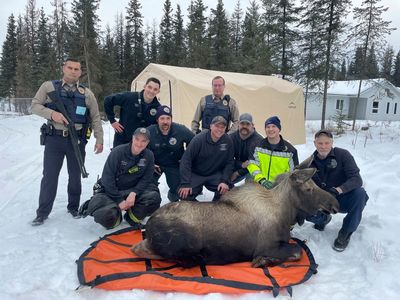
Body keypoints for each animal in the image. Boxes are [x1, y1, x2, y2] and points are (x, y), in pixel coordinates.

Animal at [133, 168, 340, 268]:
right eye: (308, 188)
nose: (335, 204)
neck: (286, 214)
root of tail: (149, 227)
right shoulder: (267, 246)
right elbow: (298, 251)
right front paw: (263, 261)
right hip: (188, 241)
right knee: (145, 251)